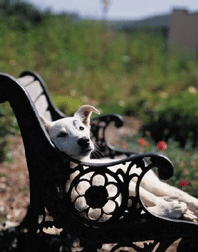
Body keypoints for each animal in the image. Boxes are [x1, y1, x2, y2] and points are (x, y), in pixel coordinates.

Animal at [39, 105, 198, 221]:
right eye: (61, 135)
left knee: (175, 194)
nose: (85, 140)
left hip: (150, 183)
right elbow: (139, 212)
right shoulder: (102, 215)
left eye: (81, 128)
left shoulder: (130, 186)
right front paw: (171, 209)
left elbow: (149, 199)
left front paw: (172, 207)